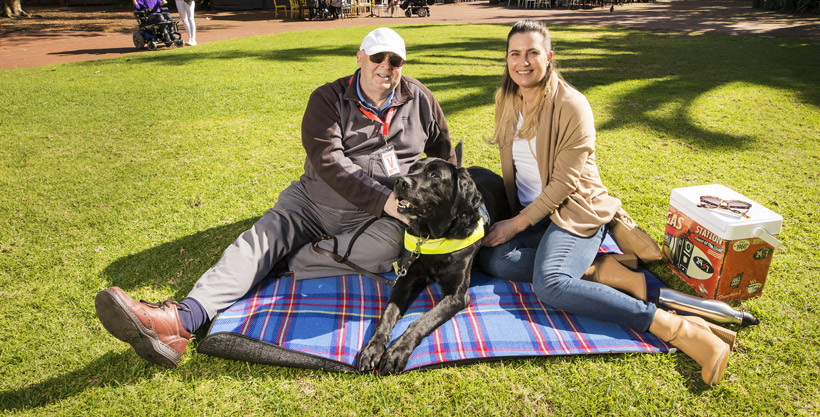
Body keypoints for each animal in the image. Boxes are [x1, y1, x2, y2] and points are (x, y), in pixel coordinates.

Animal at [358, 158, 510, 376]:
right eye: (413, 168)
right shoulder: (405, 278)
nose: (400, 181)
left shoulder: (457, 295)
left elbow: (422, 320)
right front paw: (372, 348)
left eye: (435, 176)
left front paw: (396, 352)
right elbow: (387, 314)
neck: (433, 237)